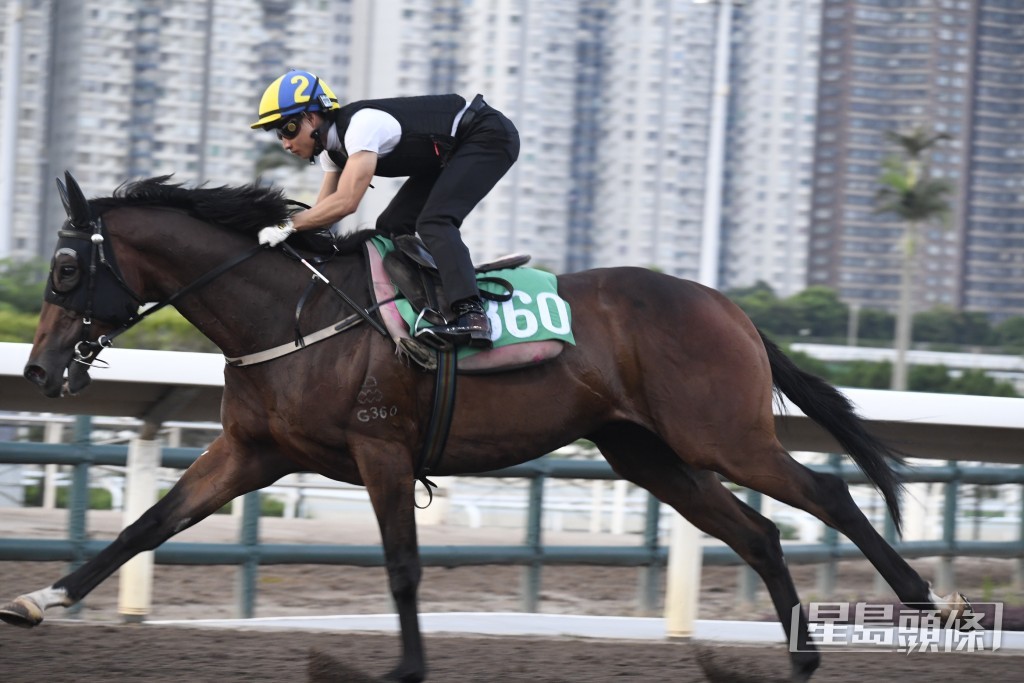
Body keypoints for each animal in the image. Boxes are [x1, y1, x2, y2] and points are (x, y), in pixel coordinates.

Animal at [4, 172, 966, 683]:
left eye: (64, 268)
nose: (40, 372)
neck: (291, 312)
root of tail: (726, 305)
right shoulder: (251, 451)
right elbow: (143, 527)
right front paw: (39, 598)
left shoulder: (381, 447)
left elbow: (400, 565)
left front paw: (405, 666)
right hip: (650, 453)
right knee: (761, 531)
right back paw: (800, 656)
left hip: (719, 434)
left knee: (826, 491)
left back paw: (931, 599)